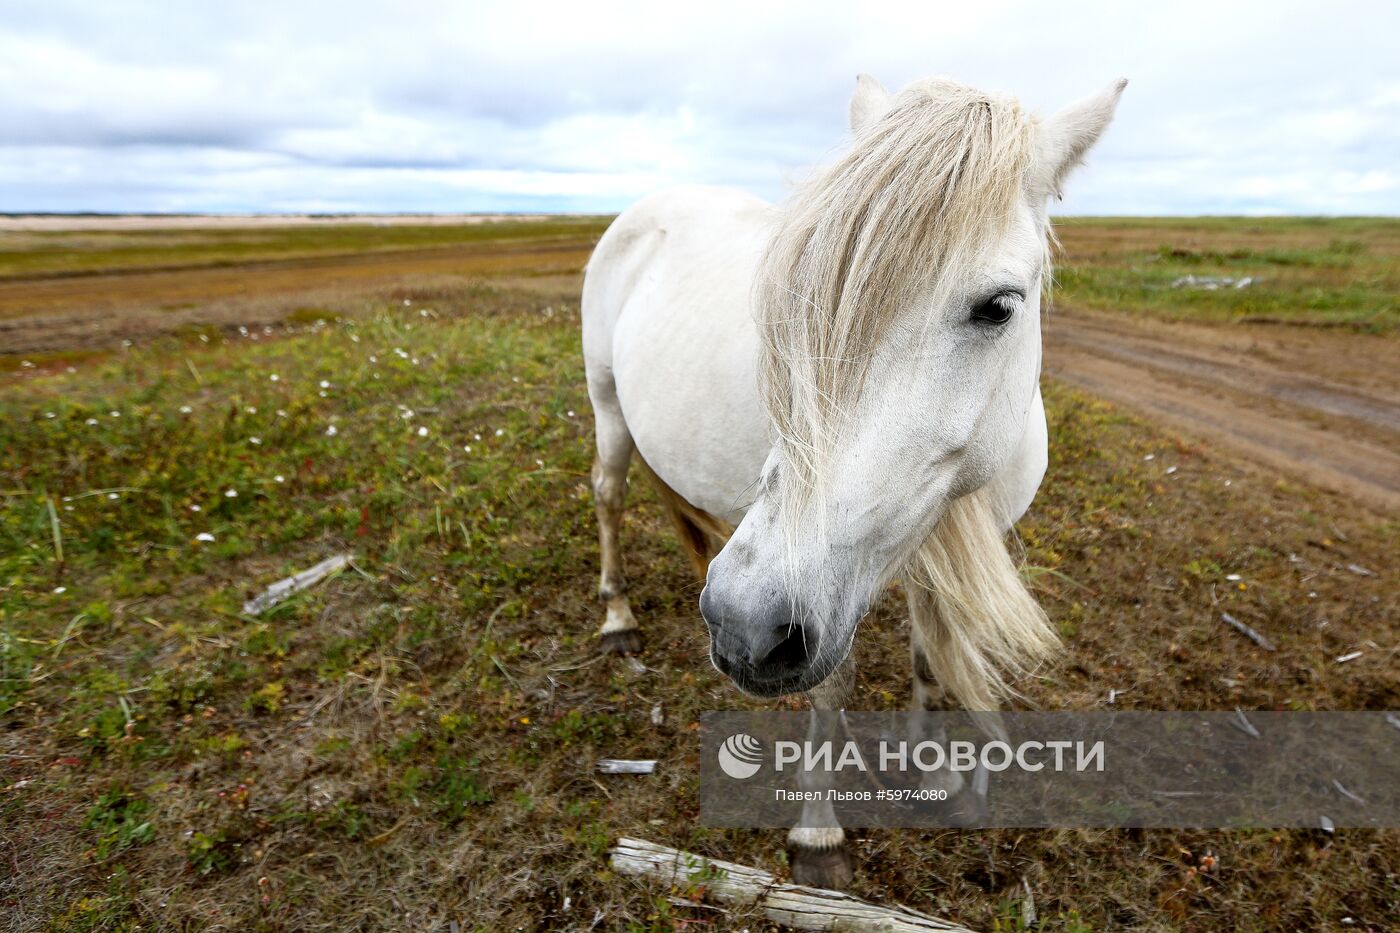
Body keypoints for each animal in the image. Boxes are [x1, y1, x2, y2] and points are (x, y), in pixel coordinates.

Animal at [579, 74, 1125, 885]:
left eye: (999, 306)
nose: (739, 626)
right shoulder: (822, 596)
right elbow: (831, 684)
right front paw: (819, 833)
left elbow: (930, 651)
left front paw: (936, 772)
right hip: (609, 407)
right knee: (610, 496)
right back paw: (618, 617)